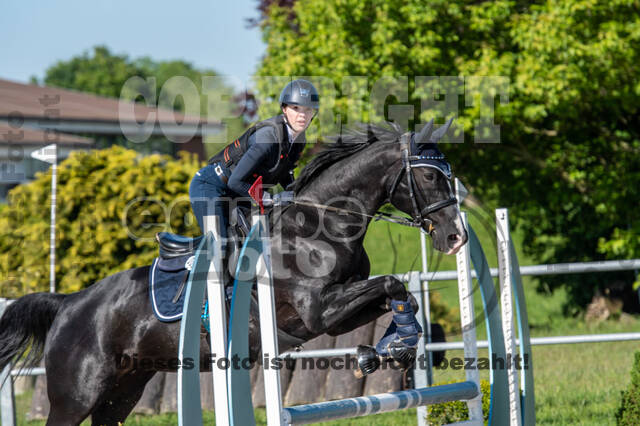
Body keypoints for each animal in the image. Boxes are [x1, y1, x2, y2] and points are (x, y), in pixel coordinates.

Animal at [0, 120, 466, 426]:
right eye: (428, 175)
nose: (456, 237)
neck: (320, 226)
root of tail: (69, 303)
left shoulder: (337, 311)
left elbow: (396, 292)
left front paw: (389, 347)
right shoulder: (317, 312)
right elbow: (391, 283)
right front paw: (393, 346)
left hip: (123, 391)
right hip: (76, 396)